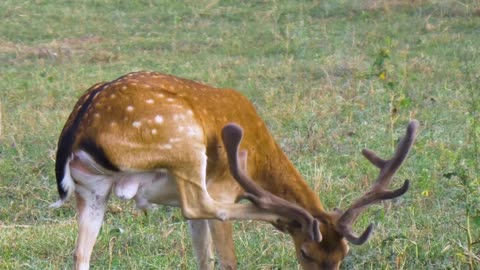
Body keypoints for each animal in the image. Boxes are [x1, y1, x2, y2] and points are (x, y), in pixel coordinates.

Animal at [52, 71, 418, 270]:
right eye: (305, 251)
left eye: (343, 253)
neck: (258, 155)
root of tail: (79, 127)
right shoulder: (224, 185)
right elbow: (226, 258)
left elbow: (204, 257)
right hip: (185, 143)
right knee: (204, 204)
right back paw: (275, 211)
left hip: (92, 189)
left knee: (80, 253)